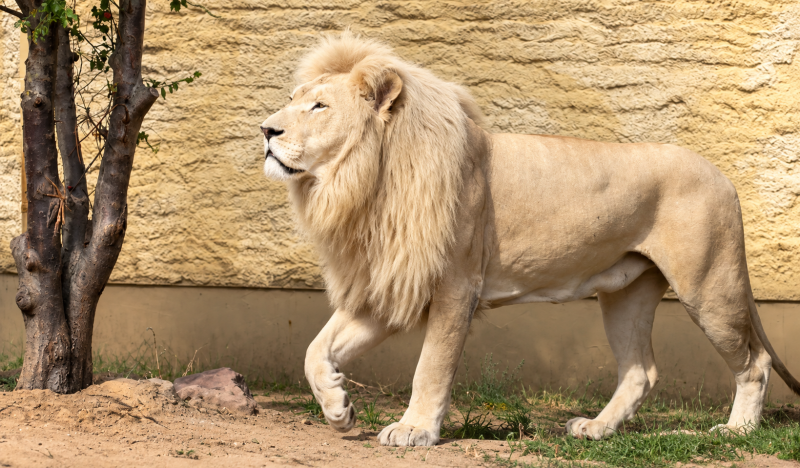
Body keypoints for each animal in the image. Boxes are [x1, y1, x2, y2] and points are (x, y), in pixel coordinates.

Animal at [259, 32, 800, 446]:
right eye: (292, 100)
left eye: (319, 106)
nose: (265, 130)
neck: (361, 182)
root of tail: (723, 176)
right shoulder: (387, 282)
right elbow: (315, 351)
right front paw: (339, 408)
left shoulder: (456, 286)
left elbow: (431, 365)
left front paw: (414, 430)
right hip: (627, 292)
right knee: (640, 370)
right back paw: (597, 429)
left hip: (709, 287)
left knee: (754, 361)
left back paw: (736, 432)